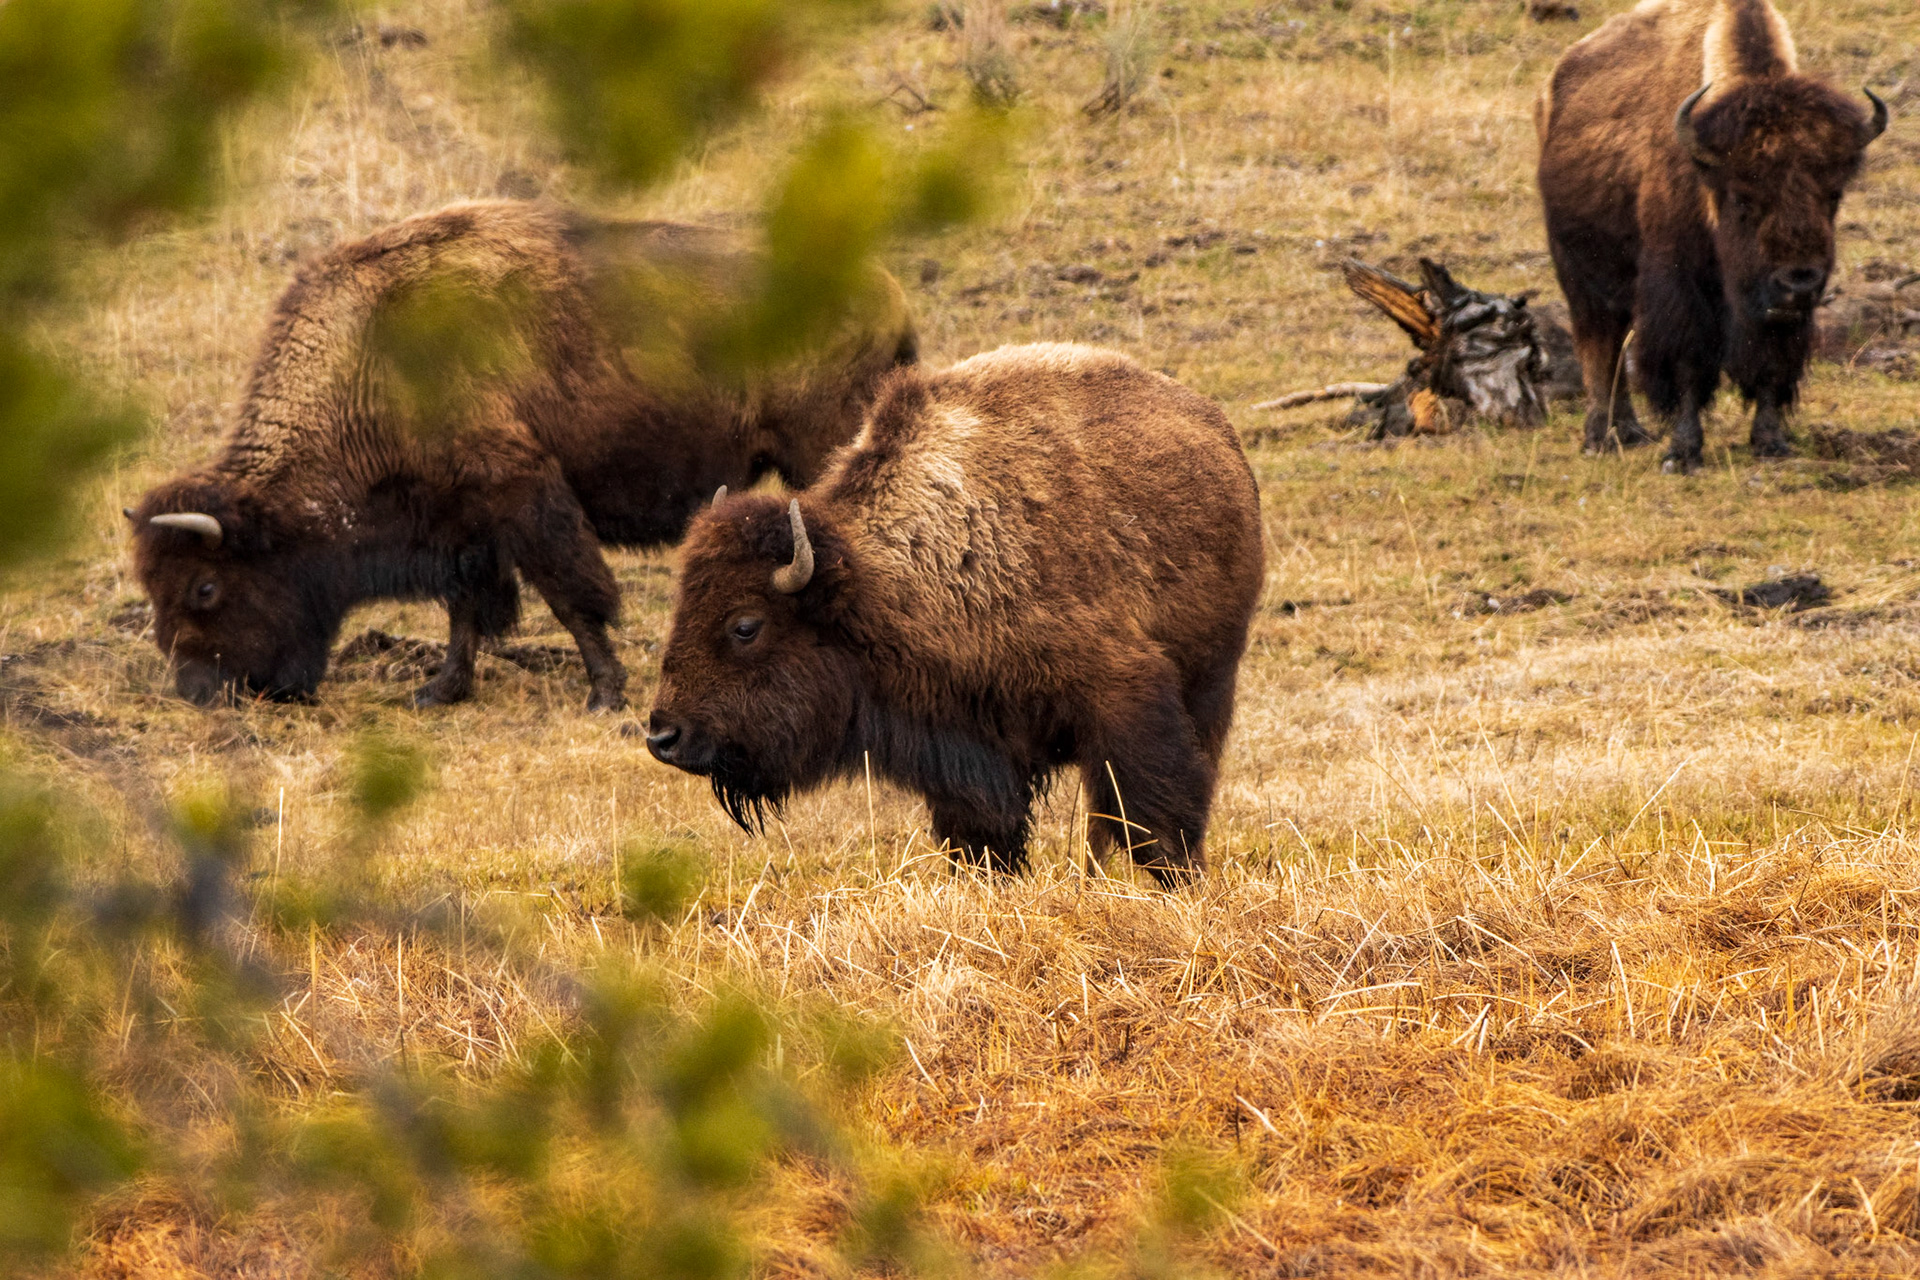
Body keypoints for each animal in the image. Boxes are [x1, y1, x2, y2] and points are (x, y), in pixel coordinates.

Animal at [130, 200, 915, 710]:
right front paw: (439, 690)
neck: (370, 360)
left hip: (823, 446)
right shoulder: (460, 520)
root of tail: (890, 293)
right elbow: (465, 607)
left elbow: (571, 594)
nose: (199, 691)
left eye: (205, 587)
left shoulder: (522, 493)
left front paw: (605, 695)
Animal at [645, 344, 1265, 885]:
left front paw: (1182, 883)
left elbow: (1154, 815)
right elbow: (983, 837)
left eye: (745, 626)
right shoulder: (965, 751)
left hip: (1213, 678)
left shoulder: (1124, 693)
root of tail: (1212, 425)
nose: (664, 736)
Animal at [1536, 0, 1888, 471]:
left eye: (1833, 194)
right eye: (1742, 198)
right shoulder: (1681, 291)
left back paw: (1630, 432)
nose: (1798, 283)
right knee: (1601, 346)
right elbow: (1689, 366)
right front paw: (1682, 453)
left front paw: (1771, 442)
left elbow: (1771, 367)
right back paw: (1602, 436)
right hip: (1577, 275)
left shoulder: (1778, 318)